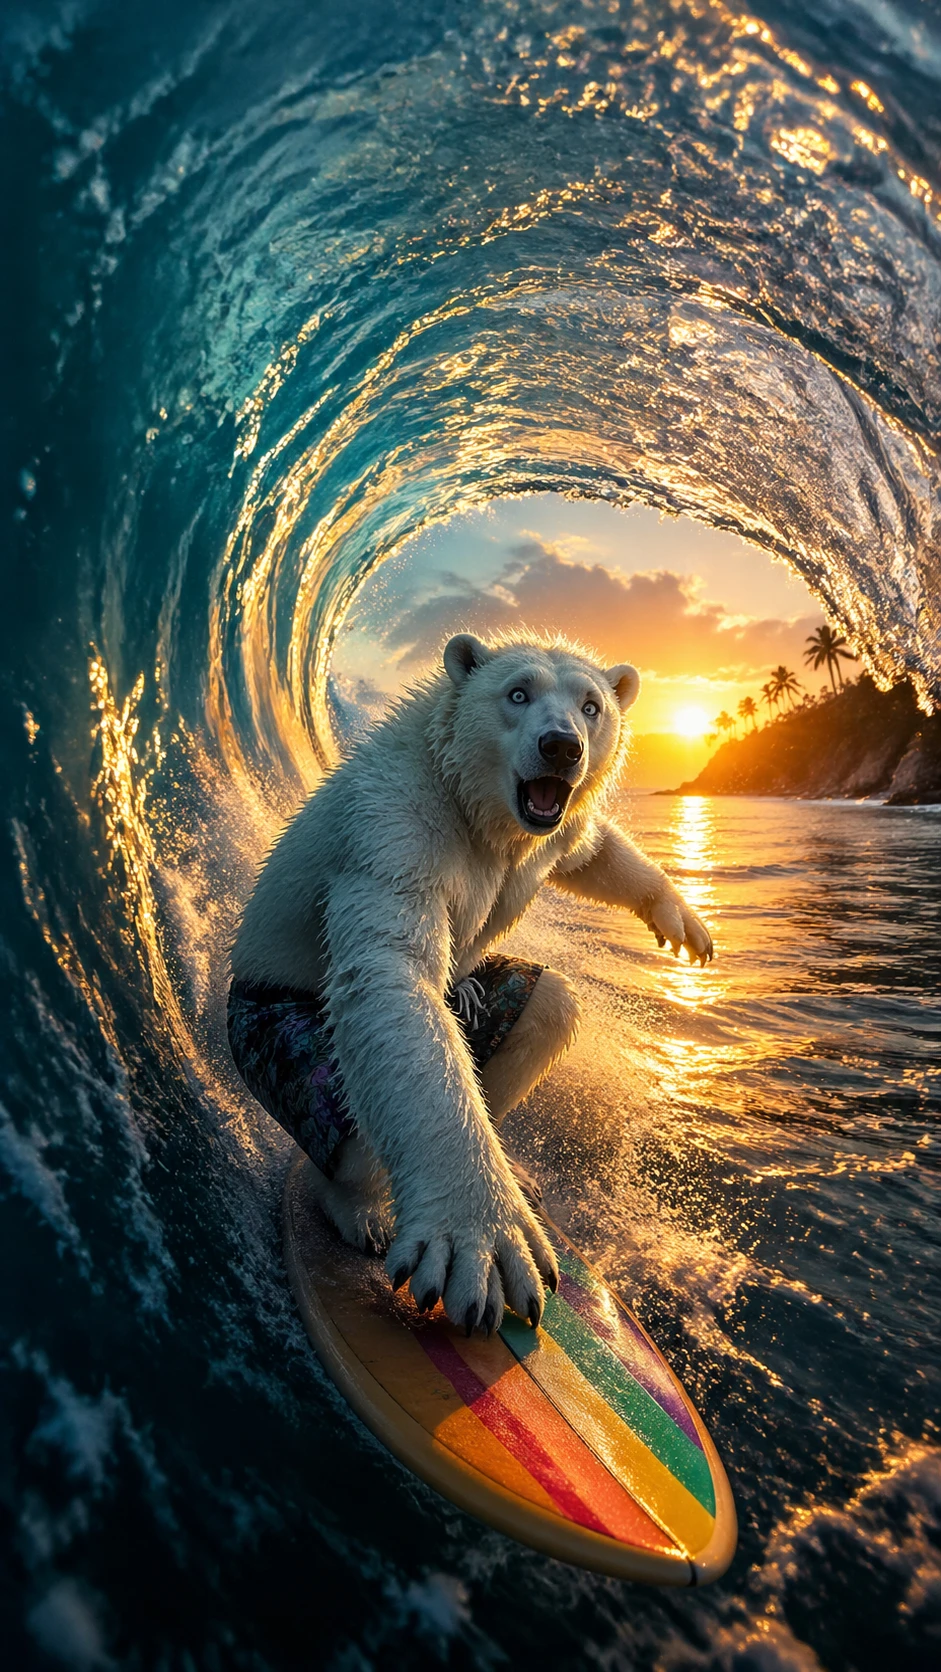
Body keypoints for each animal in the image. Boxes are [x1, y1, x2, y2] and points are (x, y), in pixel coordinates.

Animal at [229, 632, 713, 1337]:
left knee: (544, 1006)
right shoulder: (397, 827)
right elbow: (391, 976)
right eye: (518, 692)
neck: (476, 807)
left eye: (592, 705)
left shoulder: (543, 836)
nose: (562, 747)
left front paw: (679, 918)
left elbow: (589, 850)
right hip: (279, 1041)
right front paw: (481, 1236)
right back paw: (360, 1205)